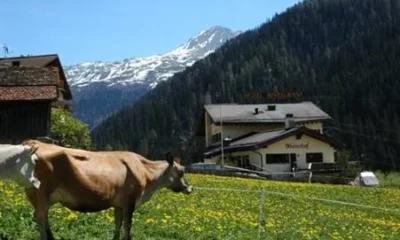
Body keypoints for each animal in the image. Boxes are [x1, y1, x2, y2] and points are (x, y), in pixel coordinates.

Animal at [0, 139, 194, 240]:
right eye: (181, 171)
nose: (189, 188)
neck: (146, 172)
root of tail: (33, 142)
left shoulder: (118, 204)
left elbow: (118, 224)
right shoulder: (130, 201)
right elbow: (128, 225)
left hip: (40, 196)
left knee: (43, 217)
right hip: (42, 192)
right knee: (39, 217)